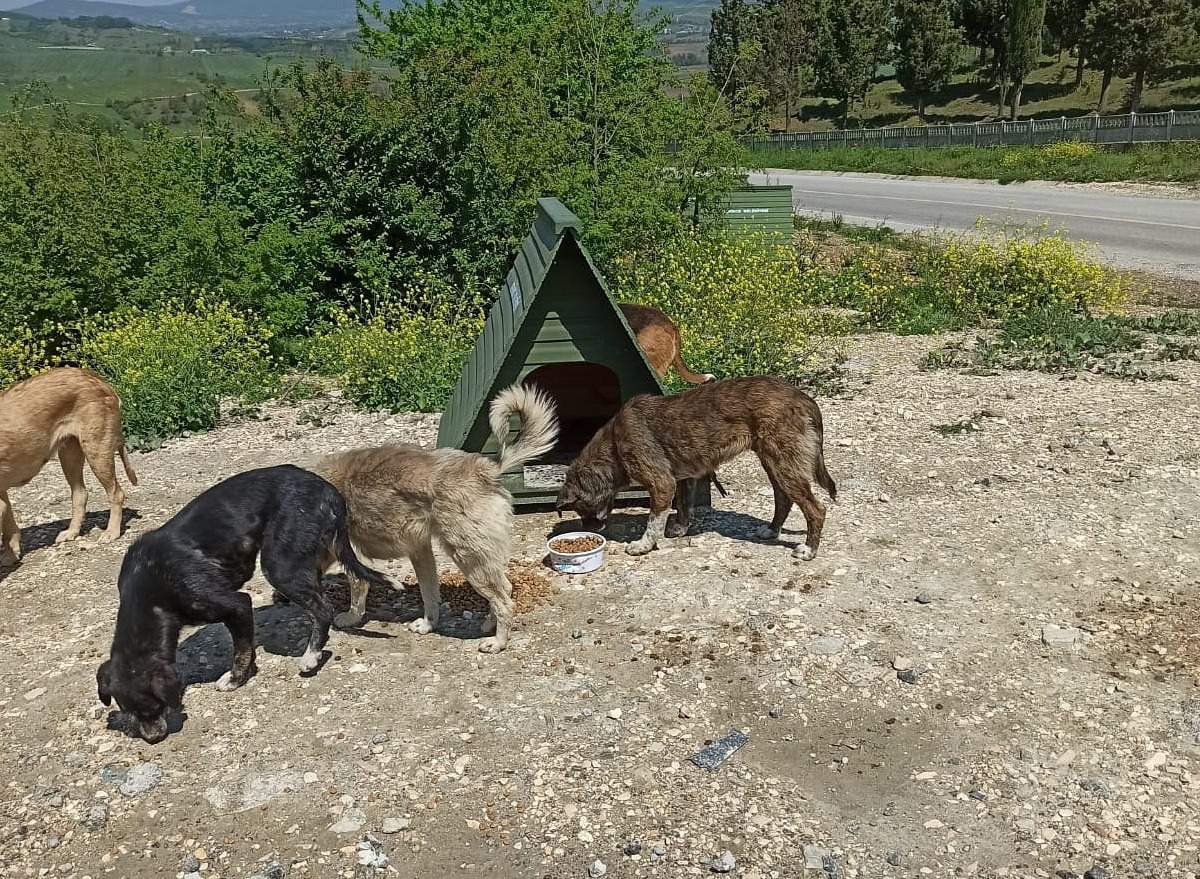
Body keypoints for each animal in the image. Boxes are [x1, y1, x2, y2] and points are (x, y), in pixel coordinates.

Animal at [1, 367, 138, 566]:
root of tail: (100, 380)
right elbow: (9, 528)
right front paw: (12, 555)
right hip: (69, 455)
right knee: (80, 494)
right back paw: (72, 532)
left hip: (96, 450)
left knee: (116, 493)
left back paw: (111, 532)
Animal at [99, 465, 388, 739]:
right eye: (130, 711)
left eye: (154, 707)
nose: (154, 738)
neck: (150, 593)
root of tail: (328, 490)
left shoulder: (236, 604)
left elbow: (241, 649)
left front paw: (235, 679)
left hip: (278, 564)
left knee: (323, 608)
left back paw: (311, 656)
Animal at [319, 384, 561, 653]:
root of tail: (483, 468)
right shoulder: (419, 550)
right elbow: (430, 594)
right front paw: (428, 624)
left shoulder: (353, 554)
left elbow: (358, 590)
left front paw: (350, 618)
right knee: (504, 589)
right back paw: (489, 624)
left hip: (469, 559)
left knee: (504, 601)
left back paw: (498, 641)